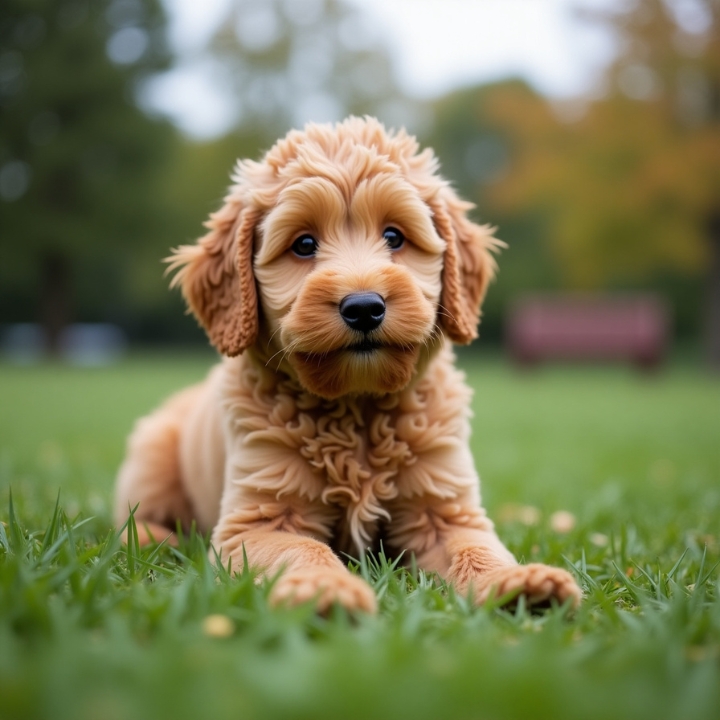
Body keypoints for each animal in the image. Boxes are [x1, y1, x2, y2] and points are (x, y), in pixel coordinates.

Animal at [115, 118, 584, 612]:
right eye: (304, 244)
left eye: (394, 237)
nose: (363, 308)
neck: (357, 408)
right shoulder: (258, 520)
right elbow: (303, 549)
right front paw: (327, 589)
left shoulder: (443, 508)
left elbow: (476, 548)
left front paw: (518, 582)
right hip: (152, 454)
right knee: (133, 517)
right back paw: (152, 539)